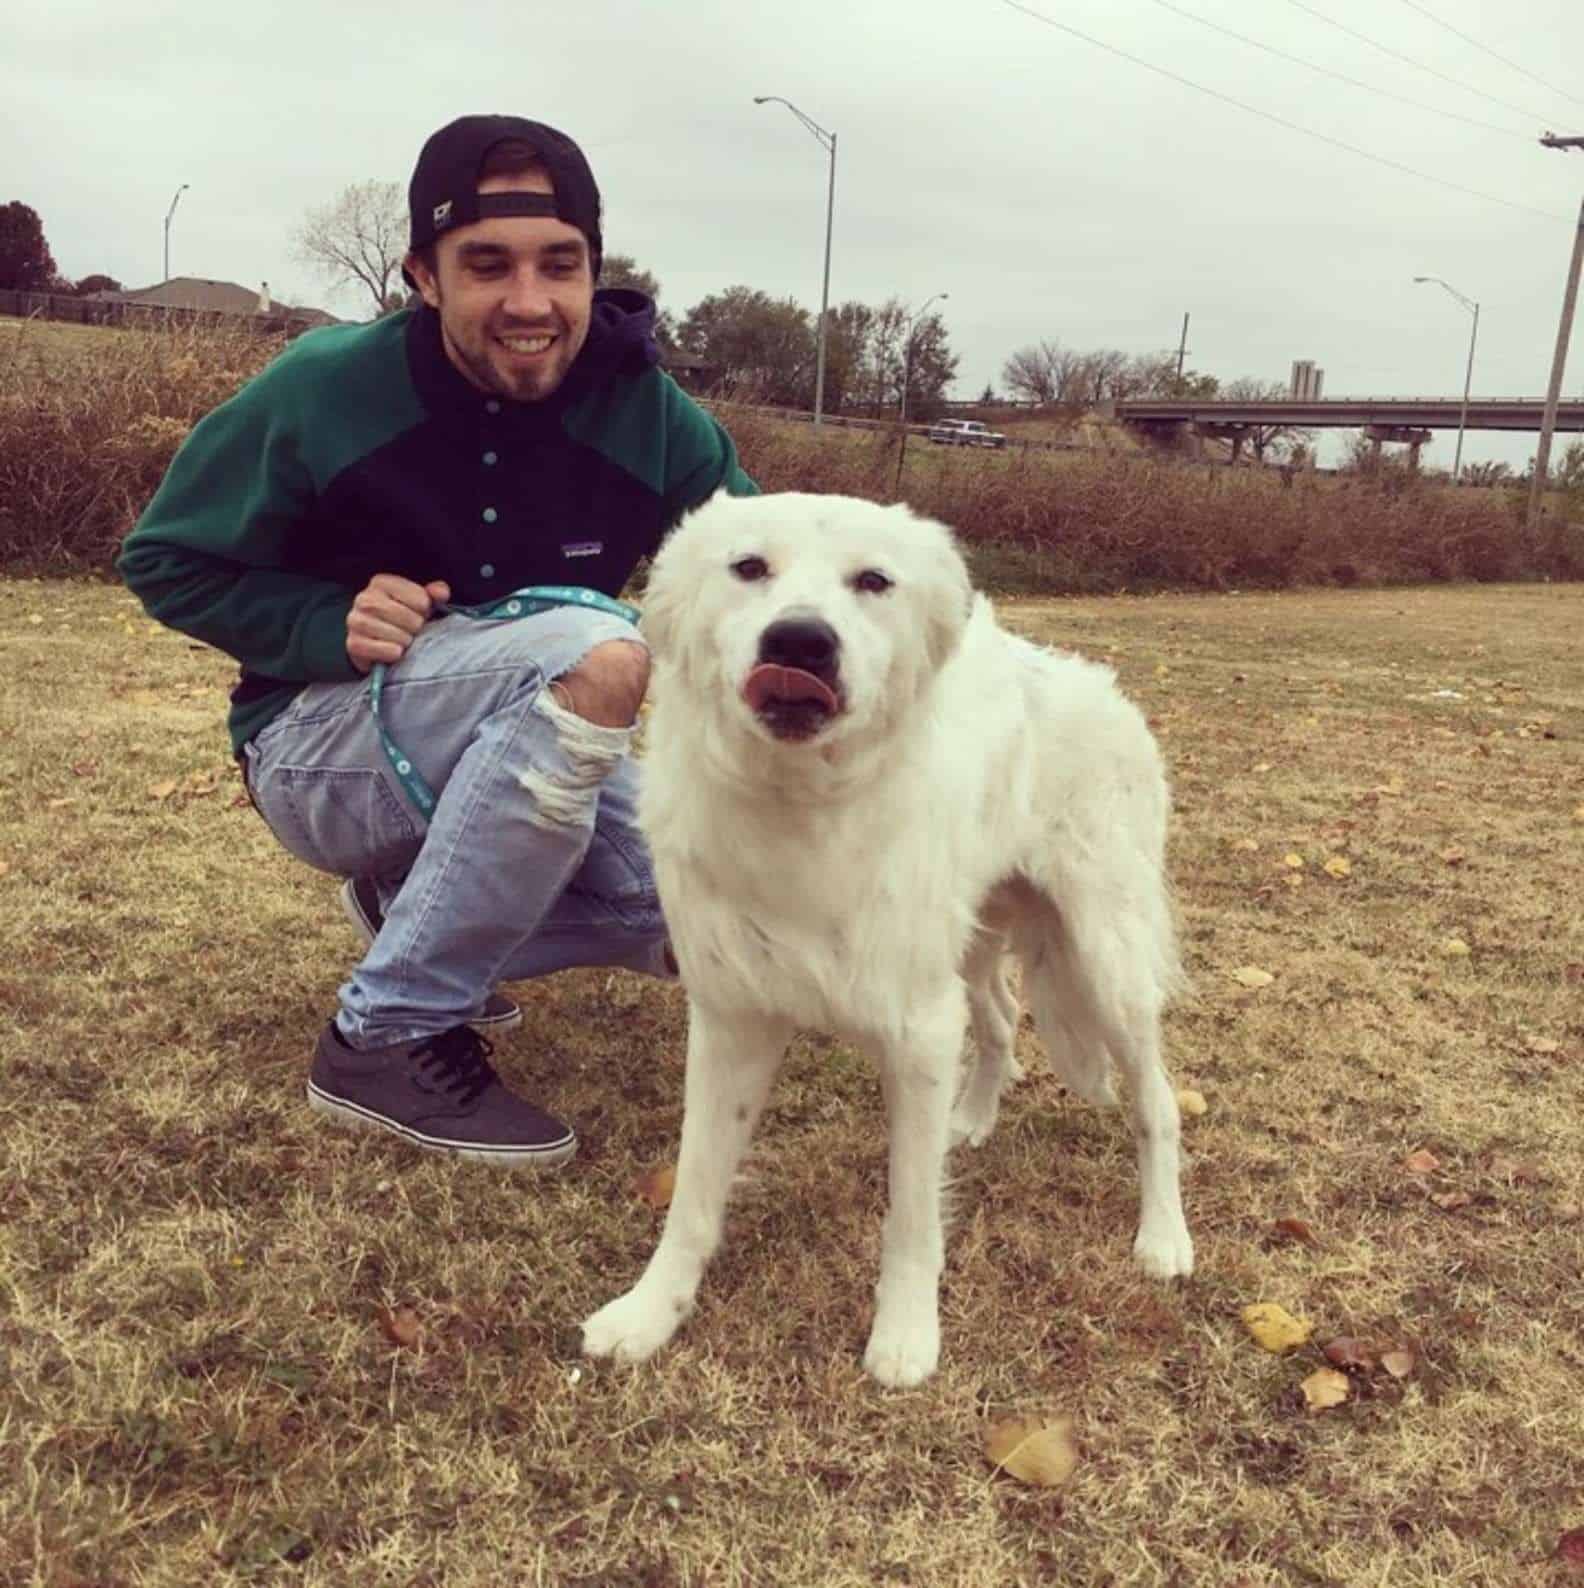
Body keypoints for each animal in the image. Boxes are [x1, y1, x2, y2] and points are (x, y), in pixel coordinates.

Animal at [581, 489, 1188, 1384]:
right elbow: (693, 1193)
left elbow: (911, 1212)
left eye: (873, 581)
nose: (800, 642)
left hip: (1106, 961)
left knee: (1157, 1100)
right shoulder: (733, 1023)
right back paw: (973, 1119)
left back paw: (1164, 1237)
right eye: (749, 568)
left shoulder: (917, 1033)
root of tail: (1100, 688)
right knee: (1001, 1020)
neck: (801, 805)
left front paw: (905, 1335)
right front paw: (653, 1312)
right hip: (973, 948)